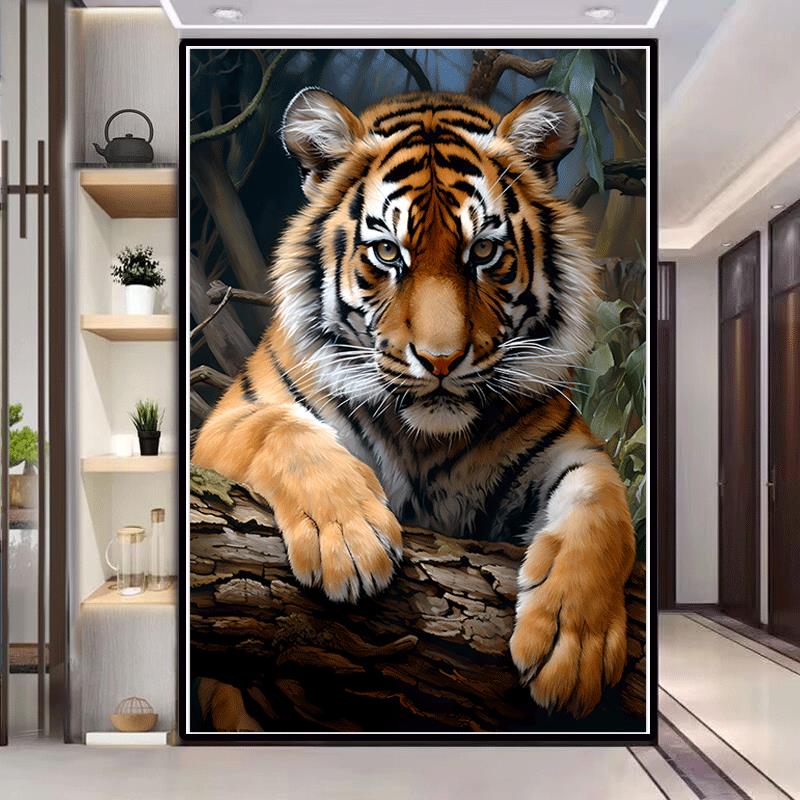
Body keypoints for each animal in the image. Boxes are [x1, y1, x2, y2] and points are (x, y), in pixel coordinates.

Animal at [193, 86, 636, 720]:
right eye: (386, 252)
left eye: (483, 251)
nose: (441, 360)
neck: (425, 438)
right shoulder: (225, 421)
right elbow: (281, 430)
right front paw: (348, 540)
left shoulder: (568, 448)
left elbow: (602, 503)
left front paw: (574, 648)